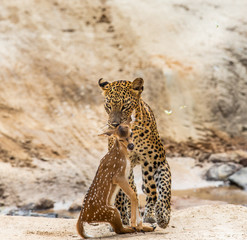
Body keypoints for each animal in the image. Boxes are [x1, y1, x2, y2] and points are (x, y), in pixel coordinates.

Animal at [98, 77, 172, 229]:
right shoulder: (123, 165)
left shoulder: (158, 162)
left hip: (148, 168)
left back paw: (149, 215)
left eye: (125, 106)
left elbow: (164, 187)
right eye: (108, 106)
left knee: (150, 189)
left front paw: (163, 215)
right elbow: (128, 193)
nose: (114, 124)